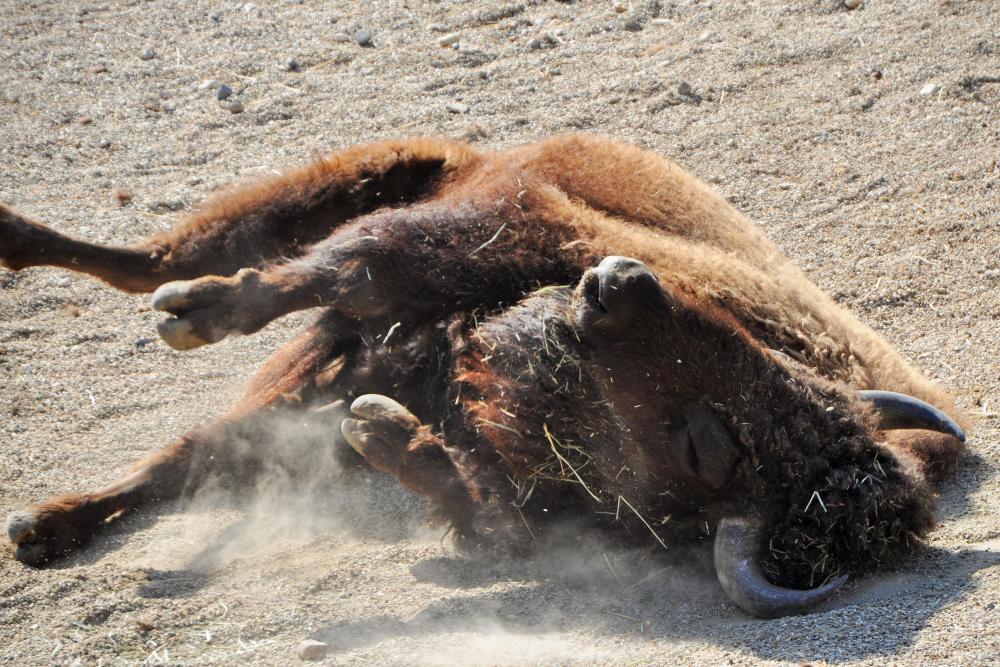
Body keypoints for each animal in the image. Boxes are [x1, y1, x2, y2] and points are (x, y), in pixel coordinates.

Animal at [0, 133, 968, 620]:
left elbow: (486, 518)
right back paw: (79, 262)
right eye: (773, 361)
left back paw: (47, 522)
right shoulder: (497, 225)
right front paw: (197, 316)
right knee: (170, 256)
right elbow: (350, 270)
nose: (618, 284)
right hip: (388, 173)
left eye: (706, 447)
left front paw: (383, 430)